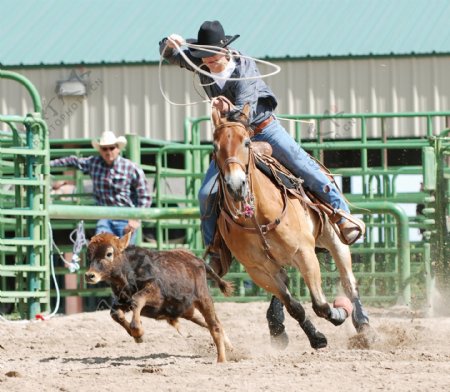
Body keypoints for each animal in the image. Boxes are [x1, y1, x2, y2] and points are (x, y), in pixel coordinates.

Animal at [85, 231, 234, 362]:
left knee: (214, 326)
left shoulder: (156, 294)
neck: (129, 271)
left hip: (203, 298)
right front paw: (136, 335)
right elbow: (115, 313)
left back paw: (221, 360)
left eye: (109, 254)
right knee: (211, 324)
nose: (89, 275)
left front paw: (138, 331)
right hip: (187, 310)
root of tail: (199, 261)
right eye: (89, 255)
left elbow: (137, 299)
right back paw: (231, 349)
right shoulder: (122, 300)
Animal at [211, 104, 370, 350]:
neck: (257, 216)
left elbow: (320, 305)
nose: (236, 185)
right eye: (215, 146)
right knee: (286, 285)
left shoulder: (304, 253)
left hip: (334, 238)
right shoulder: (258, 270)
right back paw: (277, 325)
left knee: (349, 281)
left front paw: (339, 312)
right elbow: (294, 305)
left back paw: (362, 326)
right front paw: (316, 337)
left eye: (246, 143)